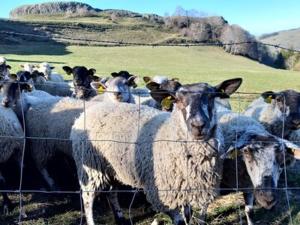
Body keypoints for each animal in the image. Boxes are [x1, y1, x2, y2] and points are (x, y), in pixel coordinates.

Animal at [69, 78, 243, 225]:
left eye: (212, 97)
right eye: (177, 99)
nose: (198, 125)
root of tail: (88, 110)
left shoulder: (198, 188)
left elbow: (194, 216)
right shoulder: (162, 194)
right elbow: (179, 220)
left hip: (113, 167)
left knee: (112, 192)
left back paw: (120, 217)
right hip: (90, 167)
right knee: (87, 198)